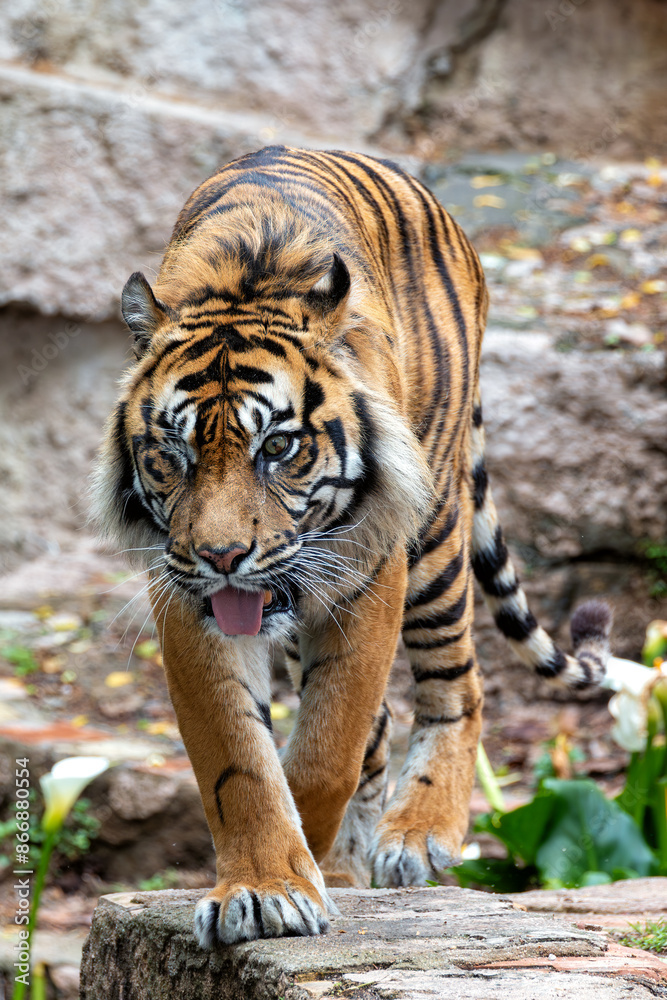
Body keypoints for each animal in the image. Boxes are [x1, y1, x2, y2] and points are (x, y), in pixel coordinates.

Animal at [93, 145, 612, 948]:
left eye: (278, 447)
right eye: (171, 454)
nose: (220, 557)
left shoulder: (370, 572)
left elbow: (324, 750)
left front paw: (302, 863)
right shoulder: (184, 596)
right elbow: (238, 761)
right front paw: (267, 885)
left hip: (435, 534)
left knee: (458, 683)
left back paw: (417, 833)